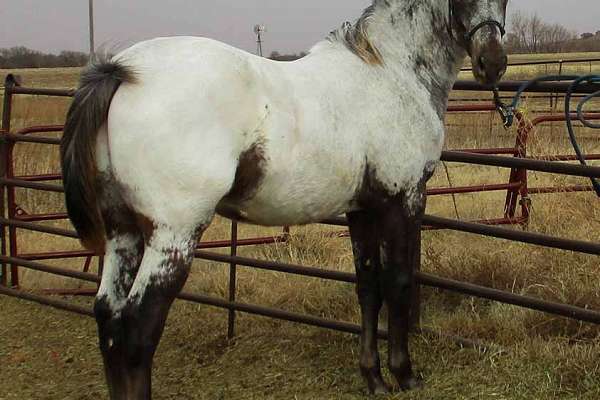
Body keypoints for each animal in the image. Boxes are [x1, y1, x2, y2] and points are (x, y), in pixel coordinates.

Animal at [62, 0, 506, 396]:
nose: (493, 63)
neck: (390, 73)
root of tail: (122, 70)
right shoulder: (404, 200)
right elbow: (397, 282)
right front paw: (405, 375)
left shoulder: (362, 210)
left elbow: (368, 288)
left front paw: (374, 379)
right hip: (174, 235)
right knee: (136, 329)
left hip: (123, 232)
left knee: (108, 318)